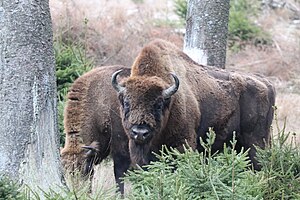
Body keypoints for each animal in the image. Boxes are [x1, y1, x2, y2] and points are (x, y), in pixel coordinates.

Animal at [111, 39, 276, 170]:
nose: (140, 132)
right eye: (126, 103)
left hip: (256, 142)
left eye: (158, 104)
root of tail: (267, 84)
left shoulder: (183, 144)